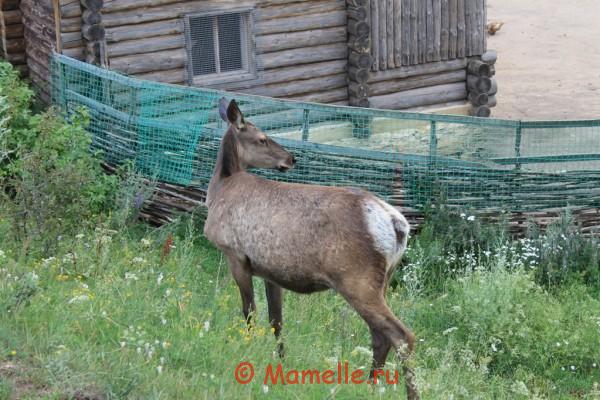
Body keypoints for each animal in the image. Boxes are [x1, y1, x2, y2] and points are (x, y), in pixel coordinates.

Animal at [204, 97, 420, 400]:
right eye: (262, 138)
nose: (290, 158)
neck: (219, 190)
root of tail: (398, 225)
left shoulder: (235, 254)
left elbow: (249, 314)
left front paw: (246, 351)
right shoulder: (270, 271)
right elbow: (276, 321)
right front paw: (281, 362)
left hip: (356, 279)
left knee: (401, 335)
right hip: (383, 279)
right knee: (380, 336)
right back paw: (367, 385)